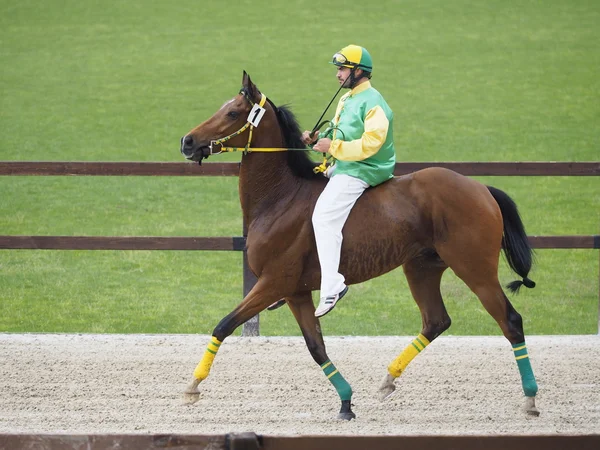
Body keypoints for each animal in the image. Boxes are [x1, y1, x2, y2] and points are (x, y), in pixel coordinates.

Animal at [178, 70, 540, 418]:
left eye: (233, 112)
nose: (187, 141)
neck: (281, 198)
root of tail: (480, 187)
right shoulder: (295, 291)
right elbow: (316, 347)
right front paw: (346, 402)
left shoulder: (273, 282)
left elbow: (224, 325)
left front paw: (193, 386)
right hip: (421, 267)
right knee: (436, 321)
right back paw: (389, 378)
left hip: (475, 269)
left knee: (510, 322)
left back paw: (530, 398)